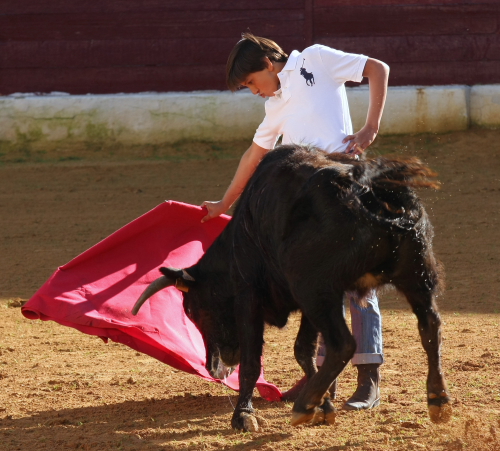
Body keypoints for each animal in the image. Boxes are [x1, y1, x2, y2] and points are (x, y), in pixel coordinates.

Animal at [131, 147, 452, 432]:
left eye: (194, 311)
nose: (213, 367)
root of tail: (367, 190)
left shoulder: (250, 297)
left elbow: (254, 361)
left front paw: (244, 416)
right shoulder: (308, 305)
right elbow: (303, 351)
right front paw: (324, 405)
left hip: (315, 288)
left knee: (344, 344)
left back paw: (303, 405)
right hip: (417, 275)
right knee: (430, 326)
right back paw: (438, 399)